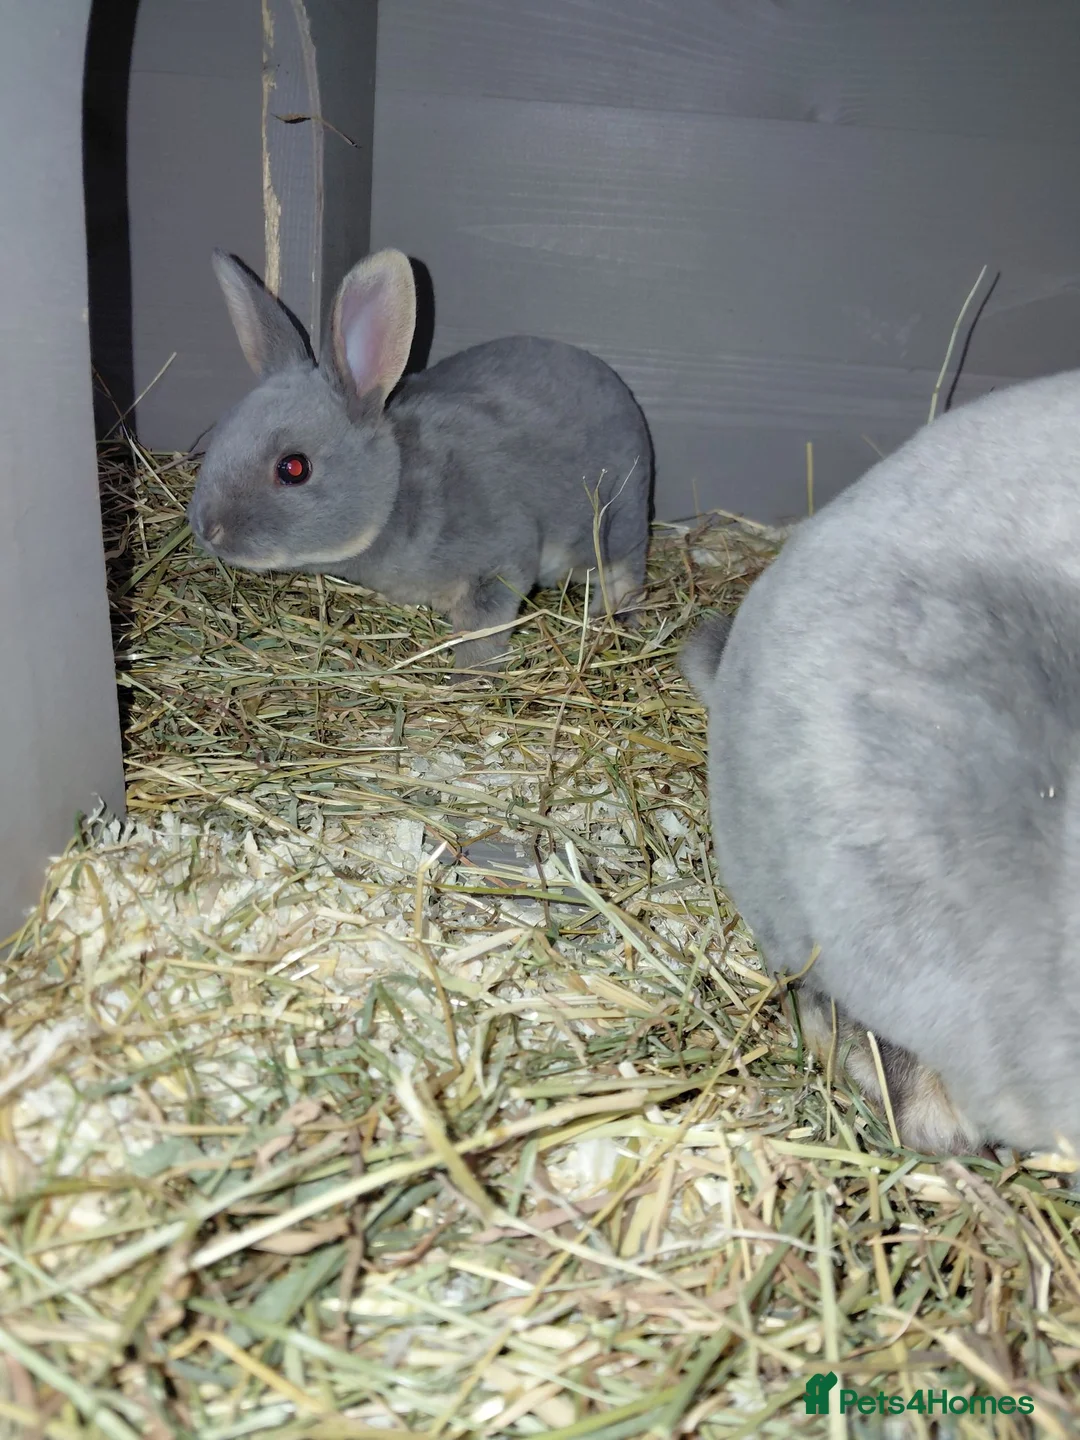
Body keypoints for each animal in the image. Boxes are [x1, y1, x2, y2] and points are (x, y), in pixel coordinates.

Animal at [187, 247, 653, 673]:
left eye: (293, 468)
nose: (208, 529)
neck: (395, 491)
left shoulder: (500, 563)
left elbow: (485, 628)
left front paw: (468, 676)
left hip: (617, 522)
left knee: (626, 569)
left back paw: (614, 616)